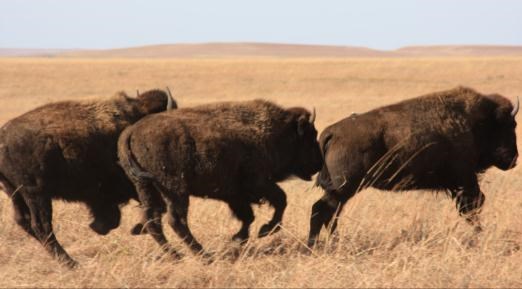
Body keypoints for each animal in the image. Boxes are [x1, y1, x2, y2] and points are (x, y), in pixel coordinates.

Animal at [0, 88, 177, 266]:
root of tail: (3, 140)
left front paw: (101, 226)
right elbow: (157, 208)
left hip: (16, 194)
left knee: (23, 221)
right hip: (36, 194)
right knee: (41, 226)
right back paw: (72, 264)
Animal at [117, 99, 320, 256]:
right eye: (310, 137)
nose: (317, 163)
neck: (274, 131)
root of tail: (131, 132)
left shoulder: (235, 195)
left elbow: (249, 216)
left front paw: (238, 238)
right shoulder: (259, 183)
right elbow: (280, 200)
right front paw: (265, 230)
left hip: (145, 187)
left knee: (153, 221)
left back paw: (176, 256)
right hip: (175, 190)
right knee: (176, 221)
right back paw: (203, 255)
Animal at [308, 86, 516, 246]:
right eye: (509, 125)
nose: (514, 158)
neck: (475, 123)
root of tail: (332, 132)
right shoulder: (465, 181)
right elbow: (473, 207)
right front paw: (479, 233)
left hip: (341, 191)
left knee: (328, 213)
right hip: (344, 189)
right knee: (323, 210)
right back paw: (318, 244)